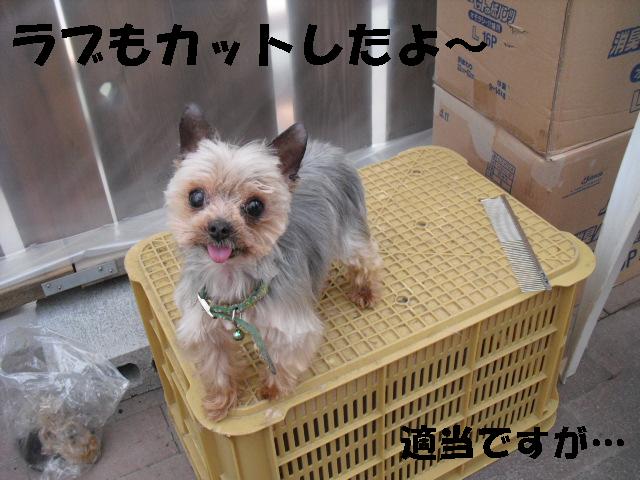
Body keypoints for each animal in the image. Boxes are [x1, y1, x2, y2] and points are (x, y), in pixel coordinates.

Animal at [166, 105, 382, 421]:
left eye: (255, 206)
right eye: (196, 196)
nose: (219, 227)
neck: (231, 278)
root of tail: (328, 148)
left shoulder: (290, 327)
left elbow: (283, 360)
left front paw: (272, 390)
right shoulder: (203, 327)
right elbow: (216, 367)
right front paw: (220, 402)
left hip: (349, 235)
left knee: (367, 258)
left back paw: (366, 291)